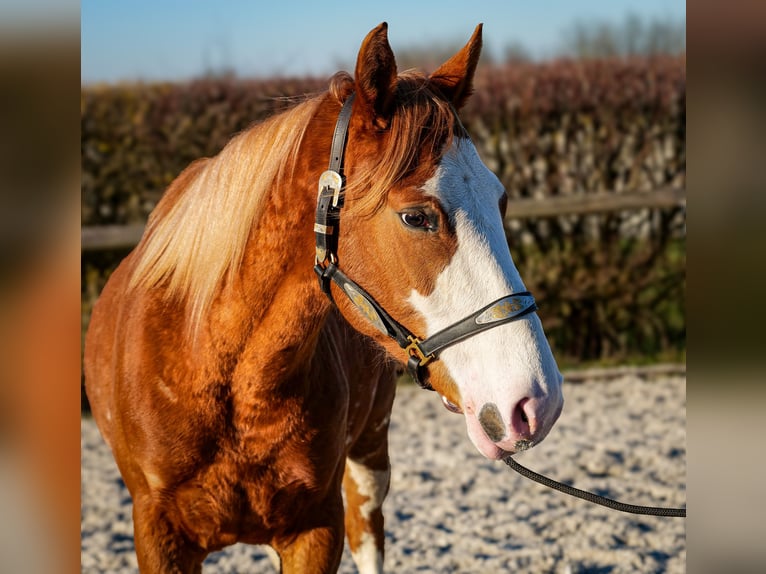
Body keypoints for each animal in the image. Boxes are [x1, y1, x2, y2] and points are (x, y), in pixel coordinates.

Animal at [84, 23, 564, 574]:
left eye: (501, 201)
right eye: (416, 216)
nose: (537, 402)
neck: (217, 368)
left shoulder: (317, 527)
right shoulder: (159, 535)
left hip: (371, 457)